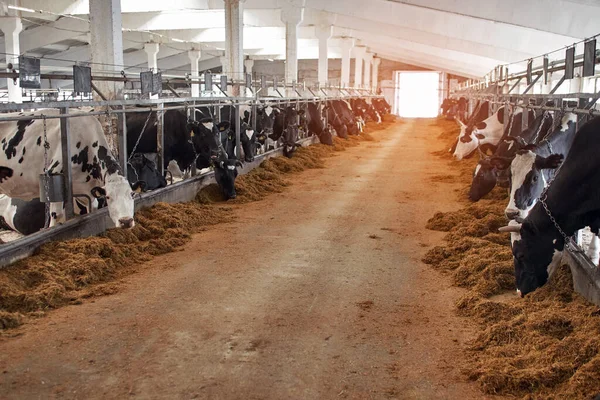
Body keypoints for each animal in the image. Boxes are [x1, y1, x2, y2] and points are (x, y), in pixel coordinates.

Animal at [0, 110, 142, 228]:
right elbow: (57, 216)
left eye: (132, 194)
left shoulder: (84, 190)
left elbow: (91, 209)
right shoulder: (54, 179)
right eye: (108, 197)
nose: (126, 221)